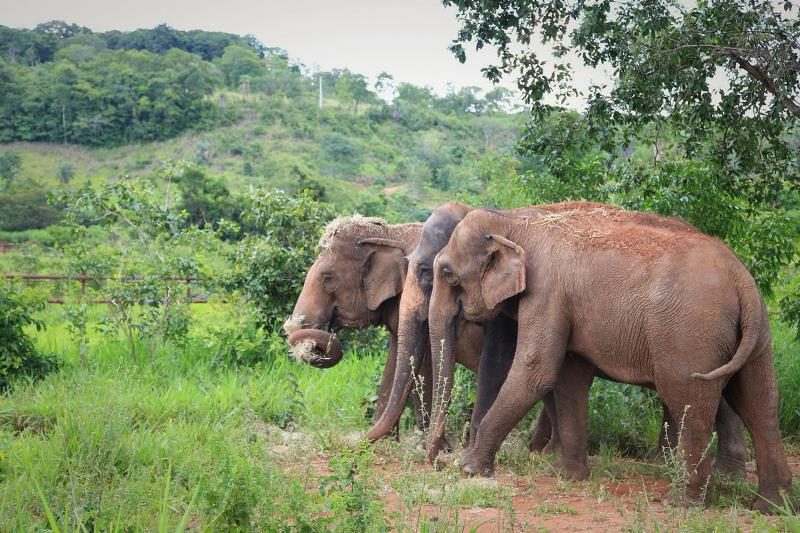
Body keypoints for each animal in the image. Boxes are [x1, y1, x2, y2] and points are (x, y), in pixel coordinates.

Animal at [427, 206, 791, 512]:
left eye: (447, 274)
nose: (435, 459)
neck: (515, 222)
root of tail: (741, 279)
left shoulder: (547, 292)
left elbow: (536, 370)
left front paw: (469, 468)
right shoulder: (564, 302)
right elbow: (569, 378)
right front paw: (566, 475)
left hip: (690, 334)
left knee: (689, 400)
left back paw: (683, 502)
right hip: (756, 336)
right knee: (760, 403)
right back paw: (772, 506)